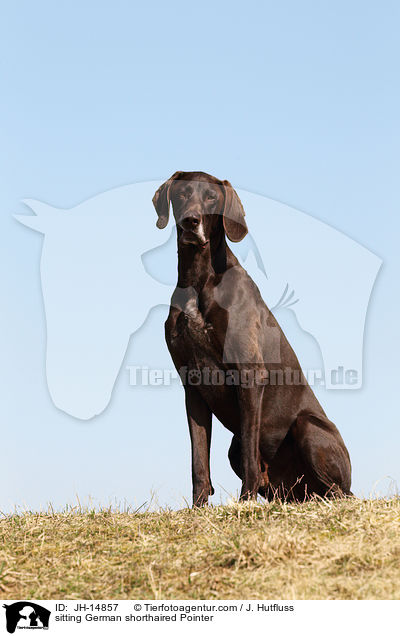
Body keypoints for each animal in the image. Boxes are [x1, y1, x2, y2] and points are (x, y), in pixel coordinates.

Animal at [152, 171, 352, 504]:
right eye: (181, 194)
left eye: (211, 197)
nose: (191, 222)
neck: (199, 277)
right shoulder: (192, 383)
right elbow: (198, 459)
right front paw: (198, 506)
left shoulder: (248, 373)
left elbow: (249, 450)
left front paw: (244, 501)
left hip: (308, 426)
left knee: (340, 493)